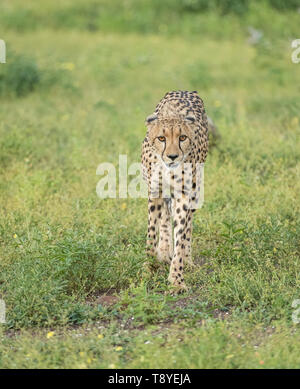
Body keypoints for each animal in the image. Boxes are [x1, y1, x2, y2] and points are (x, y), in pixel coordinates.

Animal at [141, 90, 209, 292]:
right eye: (161, 138)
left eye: (183, 138)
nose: (172, 156)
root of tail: (187, 90)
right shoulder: (154, 191)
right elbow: (152, 232)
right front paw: (148, 267)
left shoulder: (184, 195)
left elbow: (181, 233)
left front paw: (177, 279)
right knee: (164, 217)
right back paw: (164, 251)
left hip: (195, 190)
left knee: (188, 226)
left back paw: (187, 260)